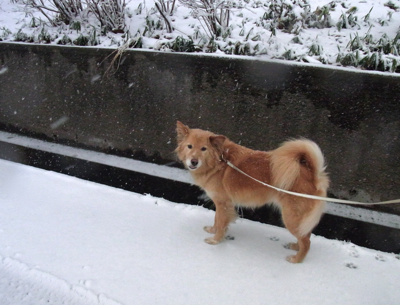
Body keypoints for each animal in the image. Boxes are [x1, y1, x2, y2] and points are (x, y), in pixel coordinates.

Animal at [174, 120, 328, 262]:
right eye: (190, 146)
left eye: (203, 149)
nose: (193, 161)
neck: (219, 160)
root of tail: (313, 175)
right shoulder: (221, 203)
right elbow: (217, 219)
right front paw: (213, 230)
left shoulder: (223, 203)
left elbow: (221, 222)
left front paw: (215, 240)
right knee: (306, 234)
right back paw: (296, 247)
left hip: (291, 217)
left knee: (307, 241)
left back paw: (297, 259)